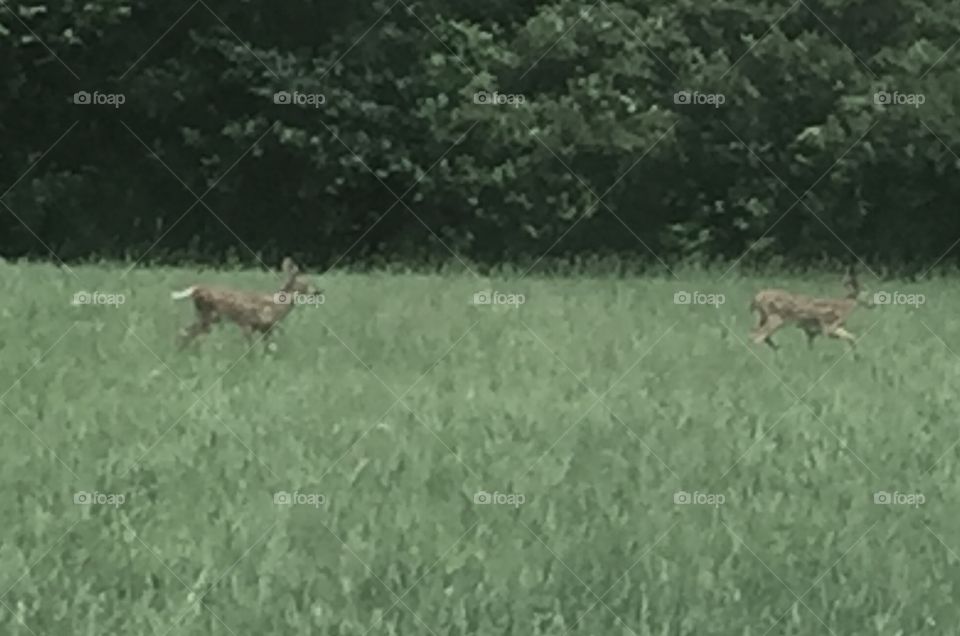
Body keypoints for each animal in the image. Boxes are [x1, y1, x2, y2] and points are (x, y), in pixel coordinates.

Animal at [171, 257, 321, 349]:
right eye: (306, 282)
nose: (318, 291)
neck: (276, 306)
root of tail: (196, 289)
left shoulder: (265, 329)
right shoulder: (247, 322)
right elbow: (250, 347)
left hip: (206, 317)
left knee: (184, 332)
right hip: (208, 316)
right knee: (188, 333)